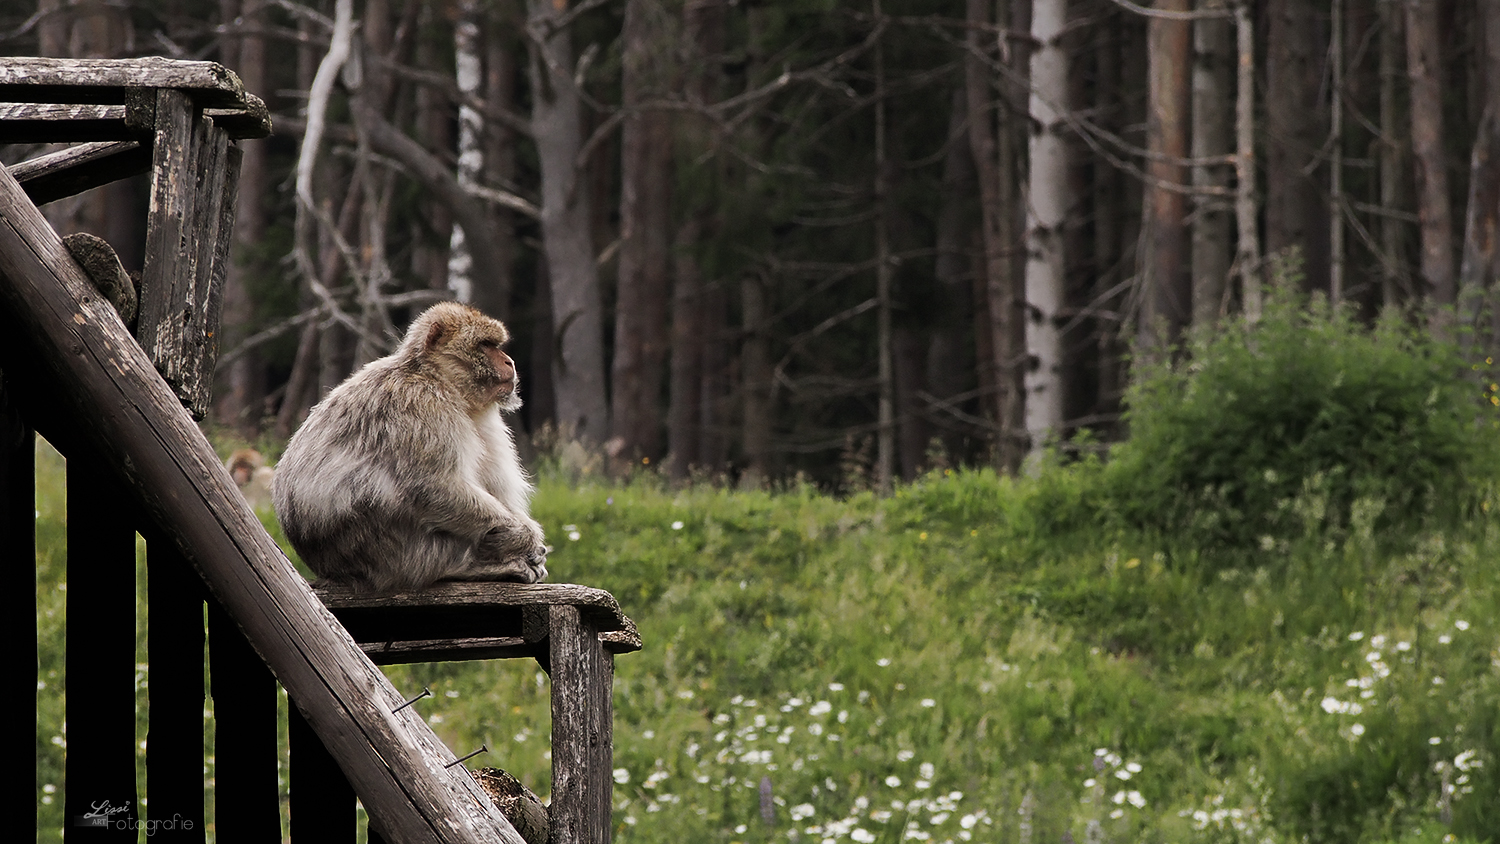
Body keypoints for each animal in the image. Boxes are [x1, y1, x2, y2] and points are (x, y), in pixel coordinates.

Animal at [273, 299, 549, 590]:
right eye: (485, 345)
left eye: (495, 344)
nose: (510, 361)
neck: (437, 378)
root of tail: (328, 569)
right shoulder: (424, 404)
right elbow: (432, 487)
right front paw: (523, 537)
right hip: (393, 554)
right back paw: (478, 567)